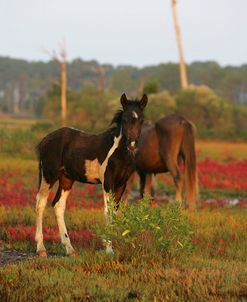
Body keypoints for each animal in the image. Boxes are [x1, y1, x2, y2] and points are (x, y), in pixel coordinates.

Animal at [35, 93, 149, 256]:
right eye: (125, 120)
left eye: (141, 120)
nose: (132, 145)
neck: (118, 153)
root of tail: (45, 140)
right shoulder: (107, 183)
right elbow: (107, 212)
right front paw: (108, 248)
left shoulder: (121, 184)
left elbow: (115, 212)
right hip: (48, 176)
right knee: (40, 203)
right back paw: (41, 248)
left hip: (67, 179)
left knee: (58, 205)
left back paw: (70, 249)